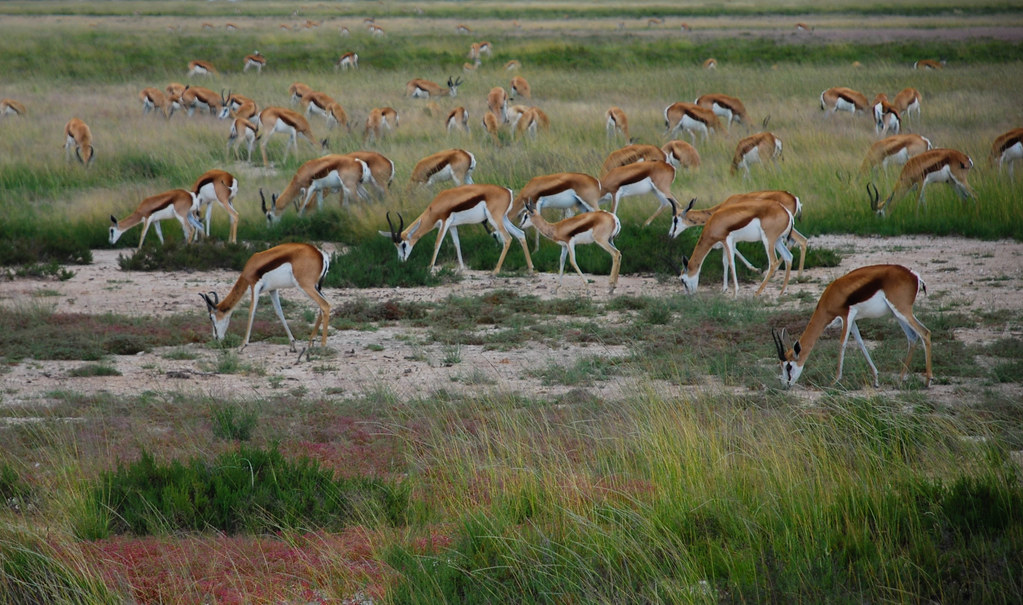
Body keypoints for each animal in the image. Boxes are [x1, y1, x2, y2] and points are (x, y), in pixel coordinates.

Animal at [200, 243, 332, 352]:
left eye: (211, 317)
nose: (216, 337)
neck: (251, 267)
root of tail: (320, 254)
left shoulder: (254, 287)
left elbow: (251, 312)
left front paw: (242, 346)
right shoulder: (272, 290)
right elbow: (279, 312)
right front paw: (292, 344)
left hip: (305, 286)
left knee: (325, 305)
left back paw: (323, 346)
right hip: (316, 287)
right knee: (323, 306)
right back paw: (311, 343)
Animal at [380, 184, 533, 275]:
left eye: (403, 244)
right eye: (395, 246)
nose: (401, 261)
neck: (436, 206)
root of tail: (508, 191)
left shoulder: (444, 222)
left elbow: (437, 243)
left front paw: (430, 268)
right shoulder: (453, 226)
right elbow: (457, 243)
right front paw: (462, 268)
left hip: (495, 219)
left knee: (508, 238)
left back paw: (495, 271)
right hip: (504, 219)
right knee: (520, 234)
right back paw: (531, 268)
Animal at [669, 191, 807, 277]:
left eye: (675, 219)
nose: (670, 235)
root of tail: (794, 198)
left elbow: (734, 251)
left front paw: (756, 269)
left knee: (800, 241)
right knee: (799, 241)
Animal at [773, 264, 931, 388]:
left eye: (788, 366)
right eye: (780, 365)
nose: (786, 384)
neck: (831, 297)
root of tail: (914, 276)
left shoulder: (847, 316)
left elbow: (842, 343)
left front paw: (835, 381)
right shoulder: (853, 320)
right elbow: (861, 343)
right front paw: (876, 380)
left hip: (902, 310)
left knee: (925, 332)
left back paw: (928, 382)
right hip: (897, 313)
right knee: (912, 337)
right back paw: (899, 380)